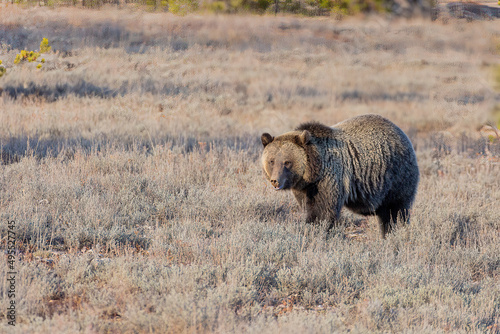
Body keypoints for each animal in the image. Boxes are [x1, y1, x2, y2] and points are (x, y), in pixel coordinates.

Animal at [260, 114, 420, 237]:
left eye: (287, 162)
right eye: (272, 161)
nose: (275, 181)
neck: (315, 170)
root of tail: (402, 134)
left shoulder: (330, 178)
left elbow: (323, 212)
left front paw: (317, 229)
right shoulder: (305, 189)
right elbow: (308, 207)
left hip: (396, 176)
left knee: (395, 211)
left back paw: (394, 233)